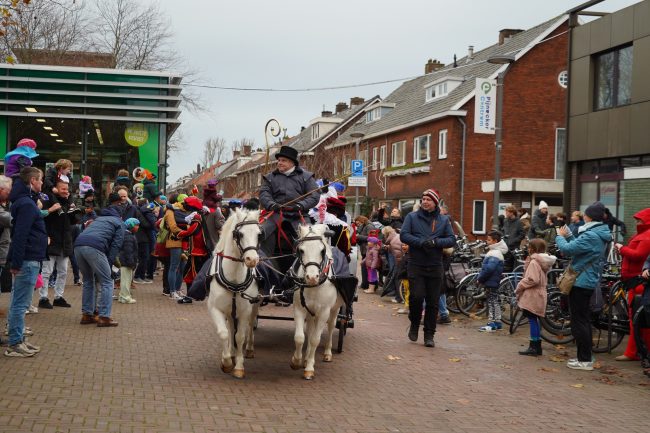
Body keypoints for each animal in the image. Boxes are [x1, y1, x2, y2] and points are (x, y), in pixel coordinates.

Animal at [206, 208, 260, 376]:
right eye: (239, 234)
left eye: (259, 234)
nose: (252, 260)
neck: (234, 279)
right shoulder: (215, 308)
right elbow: (224, 333)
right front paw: (227, 361)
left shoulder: (244, 310)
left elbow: (240, 336)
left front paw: (239, 366)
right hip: (230, 310)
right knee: (230, 327)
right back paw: (231, 352)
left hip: (254, 306)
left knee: (250, 325)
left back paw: (249, 349)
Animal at [290, 223, 336, 378]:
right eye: (301, 250)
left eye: (322, 250)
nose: (311, 277)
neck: (314, 286)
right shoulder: (300, 309)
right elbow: (300, 337)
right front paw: (296, 361)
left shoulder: (323, 313)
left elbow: (315, 339)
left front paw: (309, 368)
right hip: (311, 312)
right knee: (310, 330)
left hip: (335, 310)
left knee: (331, 326)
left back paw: (327, 353)